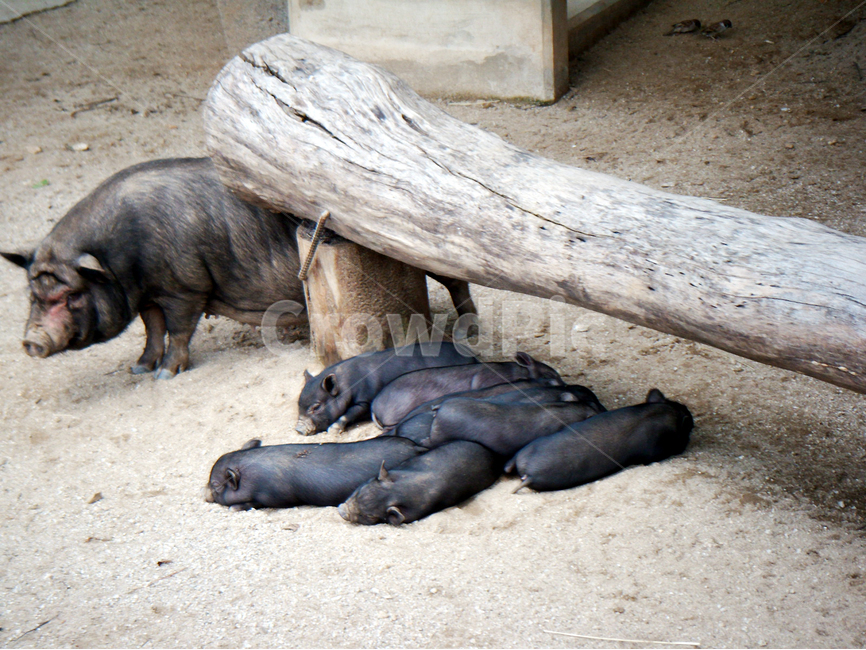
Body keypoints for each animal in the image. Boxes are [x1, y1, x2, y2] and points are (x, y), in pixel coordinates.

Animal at [1, 158, 307, 379]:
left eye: (72, 296)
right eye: (33, 295)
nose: (31, 342)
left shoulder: (186, 288)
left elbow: (178, 329)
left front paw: (165, 374)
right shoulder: (149, 295)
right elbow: (153, 328)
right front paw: (138, 368)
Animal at [296, 341, 477, 436]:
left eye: (316, 407)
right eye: (298, 405)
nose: (298, 429)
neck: (347, 384)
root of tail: (472, 356)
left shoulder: (365, 400)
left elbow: (350, 413)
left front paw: (333, 430)